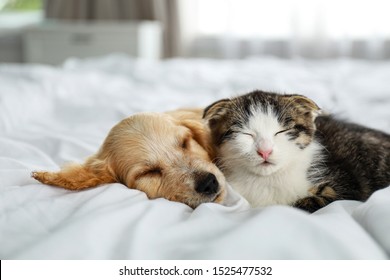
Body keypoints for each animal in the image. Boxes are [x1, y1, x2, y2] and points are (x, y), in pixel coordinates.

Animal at [204, 89, 390, 212]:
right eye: (246, 134)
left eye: (281, 131)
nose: (265, 151)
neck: (270, 180)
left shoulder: (347, 183)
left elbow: (321, 200)